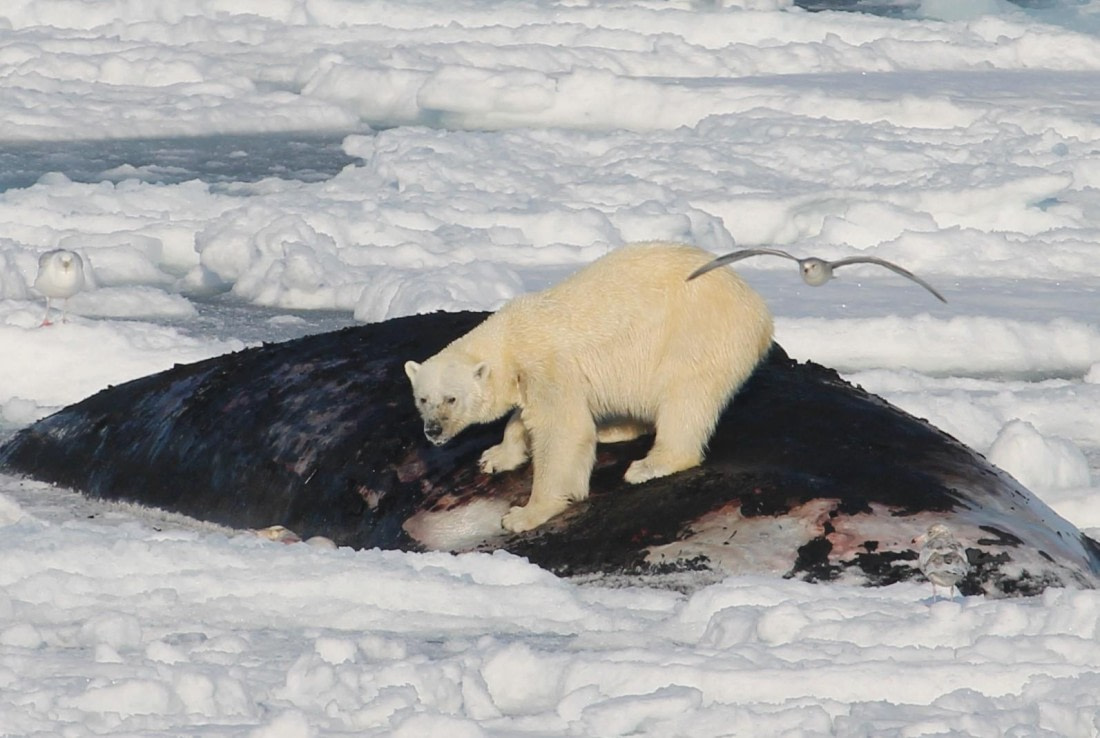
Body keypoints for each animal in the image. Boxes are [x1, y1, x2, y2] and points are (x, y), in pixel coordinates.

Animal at [403, 241, 774, 533]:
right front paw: (495, 456)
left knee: (684, 397)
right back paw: (612, 430)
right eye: (422, 399)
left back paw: (648, 465)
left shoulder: (547, 367)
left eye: (452, 398)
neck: (510, 339)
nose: (433, 431)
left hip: (698, 334)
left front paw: (523, 514)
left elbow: (563, 430)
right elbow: (526, 417)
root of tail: (761, 312)